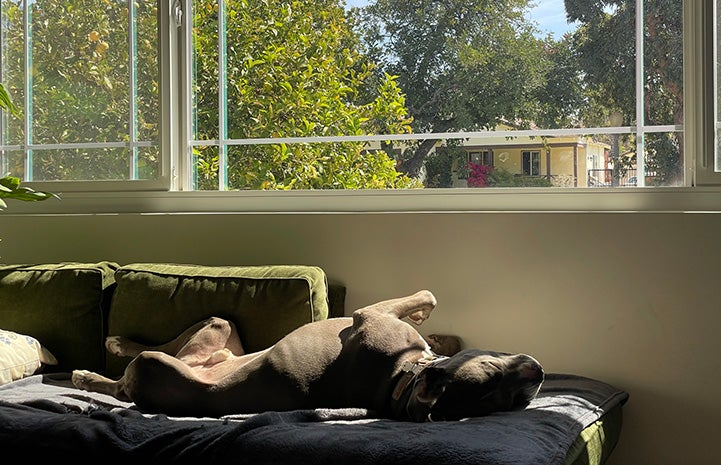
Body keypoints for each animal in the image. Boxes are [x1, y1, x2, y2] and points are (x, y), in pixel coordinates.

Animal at [74, 290, 544, 420]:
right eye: (491, 370)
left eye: (512, 403)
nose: (538, 373)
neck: (404, 376)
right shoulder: (373, 317)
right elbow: (430, 305)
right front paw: (440, 335)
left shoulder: (369, 315)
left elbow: (427, 297)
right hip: (220, 330)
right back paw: (113, 346)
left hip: (174, 363)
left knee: (126, 382)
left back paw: (91, 373)